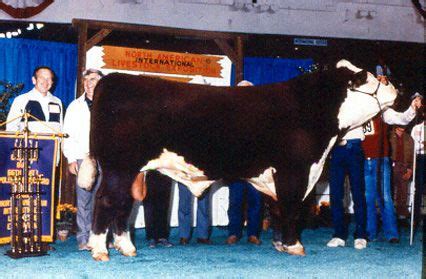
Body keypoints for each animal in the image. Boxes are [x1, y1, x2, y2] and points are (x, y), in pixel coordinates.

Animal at [79, 59, 396, 262]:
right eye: (367, 77)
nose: (393, 86)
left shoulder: (277, 174)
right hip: (119, 166)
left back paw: (126, 247)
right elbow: (292, 208)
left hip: (132, 170)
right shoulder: (295, 170)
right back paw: (100, 250)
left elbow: (277, 208)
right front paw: (294, 246)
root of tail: (113, 79)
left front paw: (280, 244)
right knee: (107, 201)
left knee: (124, 205)